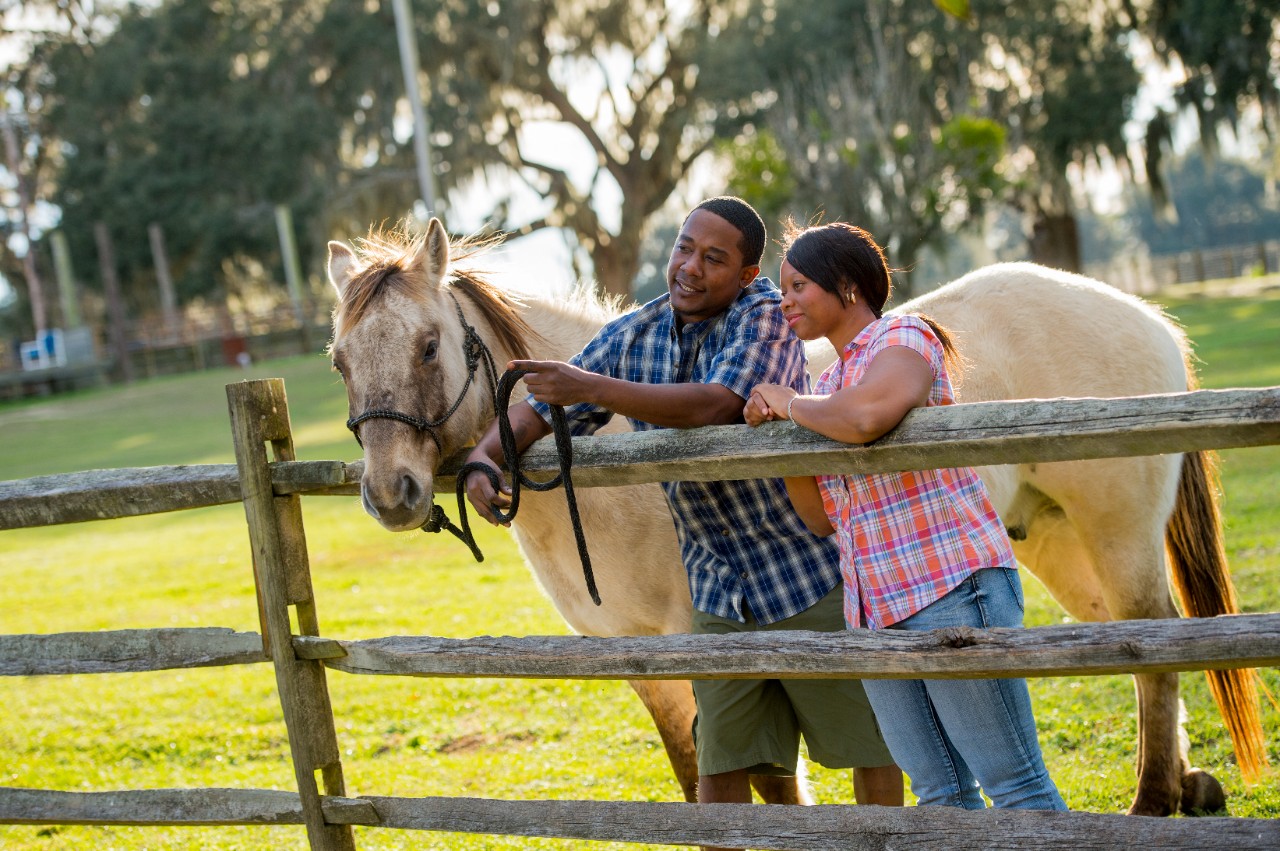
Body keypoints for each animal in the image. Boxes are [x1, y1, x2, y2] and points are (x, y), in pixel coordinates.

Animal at [325, 217, 1263, 816]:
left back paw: (1153, 802)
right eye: (338, 358)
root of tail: (1142, 316)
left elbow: (773, 785)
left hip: (1114, 528)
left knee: (1151, 644)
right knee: (1132, 644)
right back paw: (1188, 787)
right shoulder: (642, 662)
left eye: (429, 345)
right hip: (1058, 540)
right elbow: (697, 776)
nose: (391, 492)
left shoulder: (726, 643)